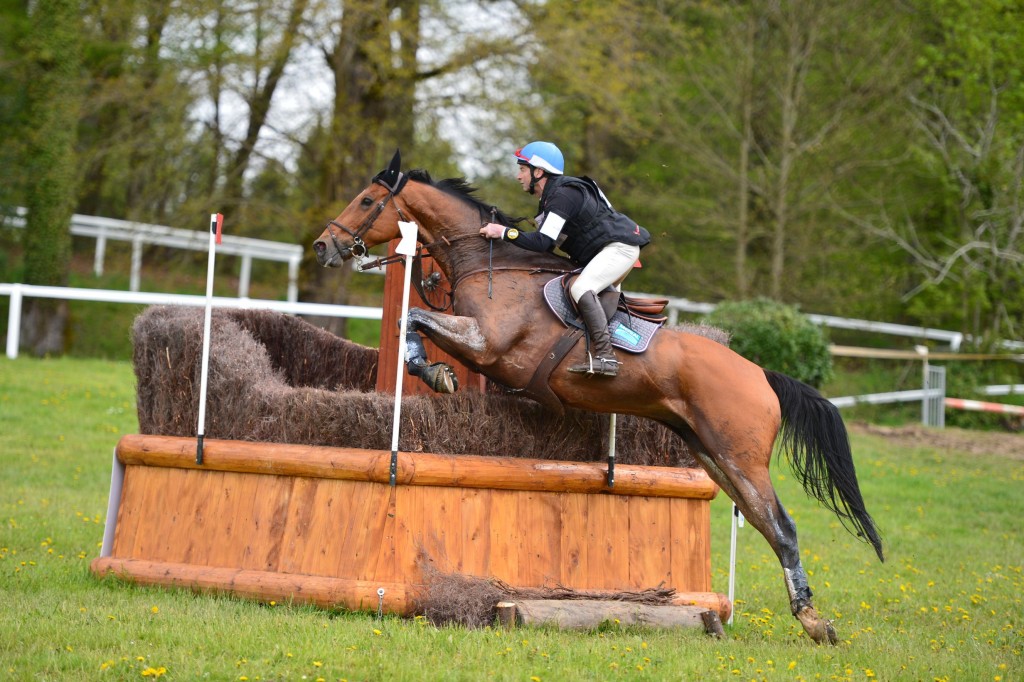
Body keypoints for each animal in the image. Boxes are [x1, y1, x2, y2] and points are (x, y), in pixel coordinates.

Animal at [311, 150, 880, 643]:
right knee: (764, 522)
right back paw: (808, 615)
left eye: (366, 199)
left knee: (782, 526)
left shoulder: (488, 344)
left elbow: (414, 318)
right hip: (711, 453)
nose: (322, 246)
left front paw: (436, 374)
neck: (490, 264)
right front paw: (435, 370)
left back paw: (813, 622)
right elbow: (413, 319)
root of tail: (761, 373)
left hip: (740, 454)